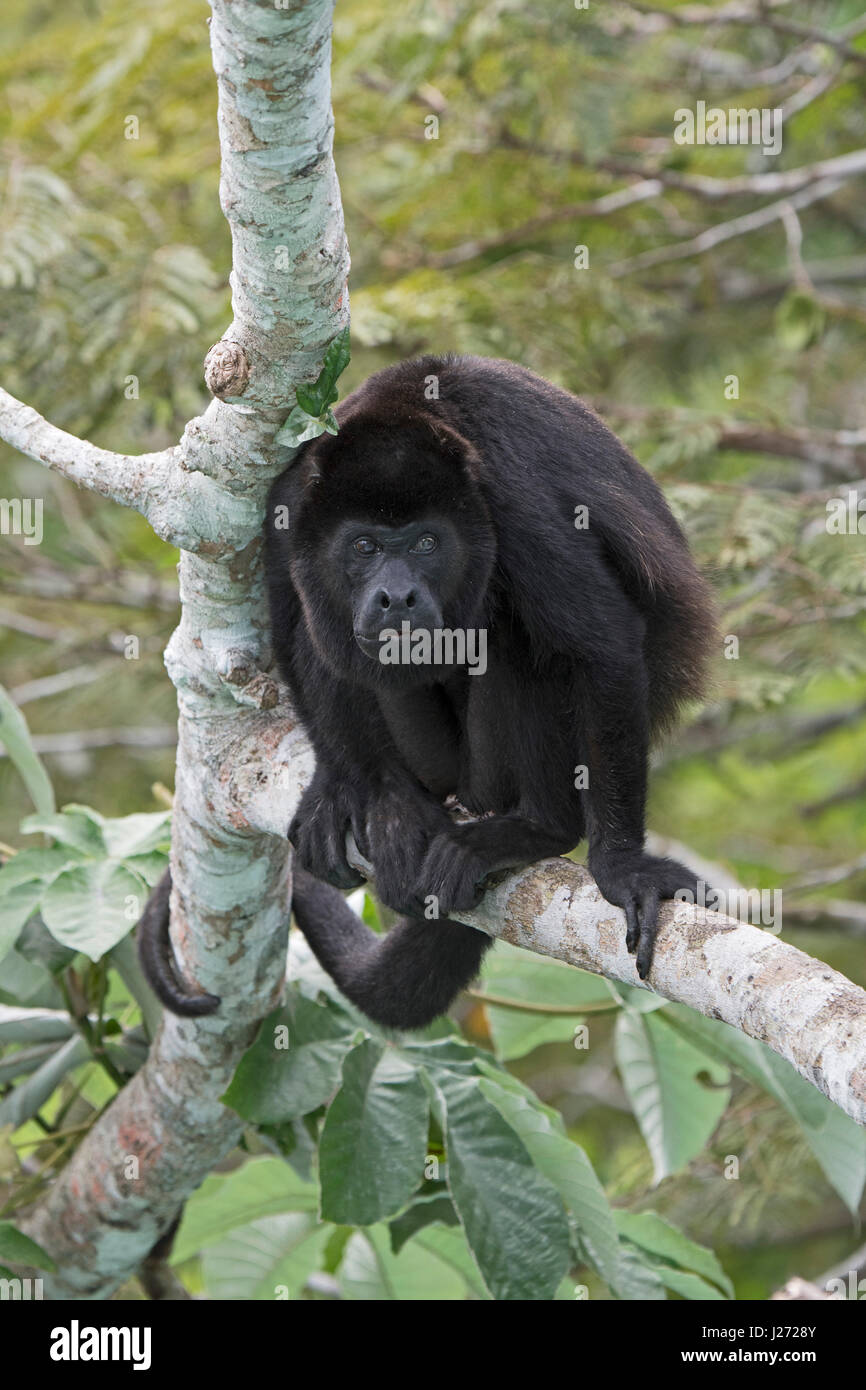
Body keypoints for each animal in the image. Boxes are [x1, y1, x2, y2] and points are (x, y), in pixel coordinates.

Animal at [139, 355, 717, 1034]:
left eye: (425, 543)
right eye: (364, 546)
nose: (397, 597)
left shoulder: (513, 506)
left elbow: (601, 645)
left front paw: (623, 865)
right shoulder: (288, 503)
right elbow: (287, 617)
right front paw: (347, 793)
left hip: (487, 773)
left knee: (517, 638)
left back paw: (534, 829)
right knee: (325, 636)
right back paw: (387, 800)